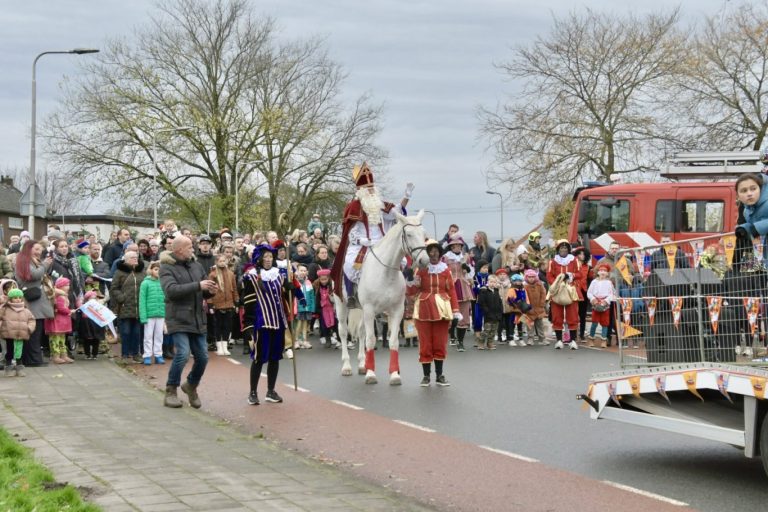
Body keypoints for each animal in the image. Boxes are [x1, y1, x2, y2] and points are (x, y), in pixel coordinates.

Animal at [332, 209, 428, 384]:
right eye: (409, 234)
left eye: (424, 234)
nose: (424, 260)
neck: (386, 272)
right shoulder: (370, 310)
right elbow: (371, 340)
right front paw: (371, 374)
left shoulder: (396, 311)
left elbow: (393, 342)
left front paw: (394, 375)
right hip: (341, 304)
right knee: (343, 331)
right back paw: (347, 366)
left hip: (362, 310)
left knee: (361, 332)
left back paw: (362, 364)